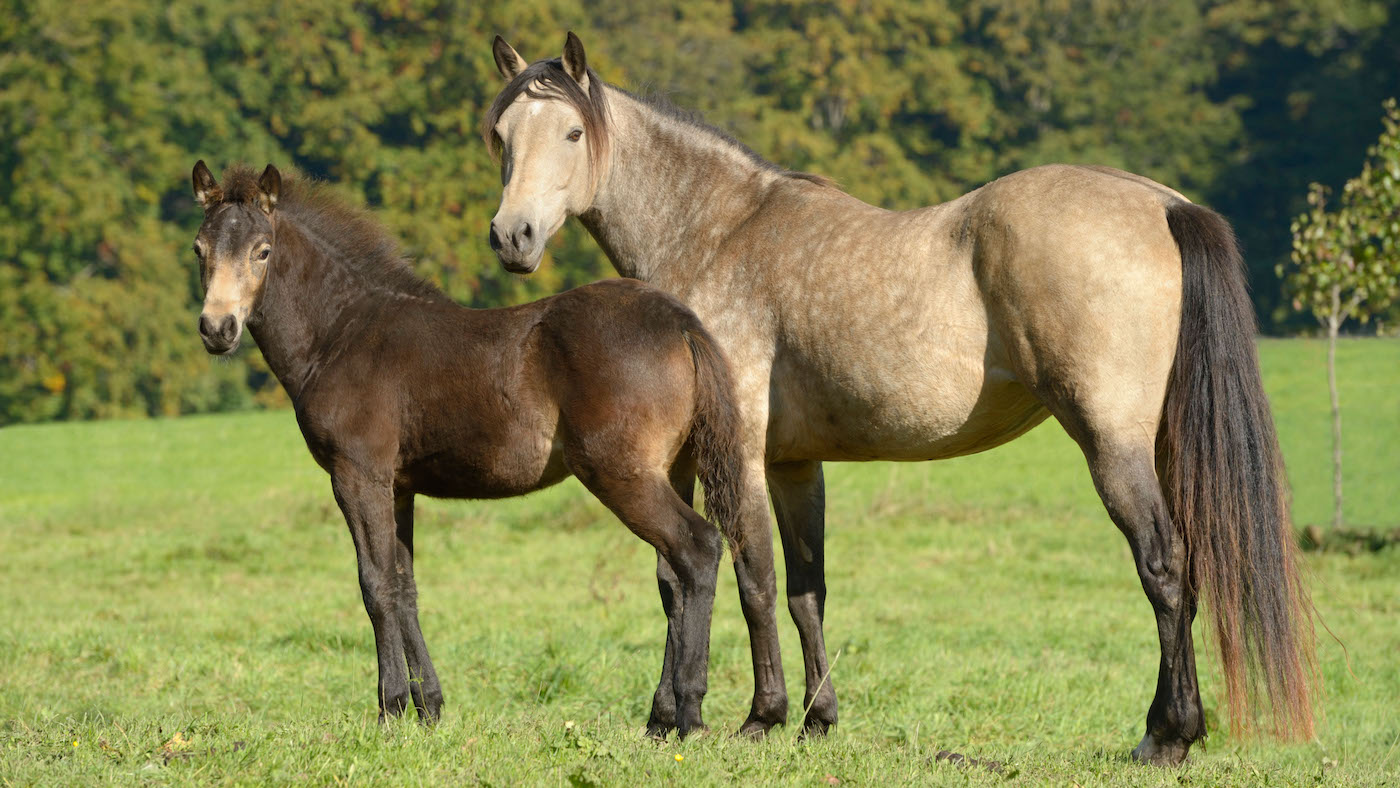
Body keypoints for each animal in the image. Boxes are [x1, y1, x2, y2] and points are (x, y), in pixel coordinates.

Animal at [189, 160, 748, 737]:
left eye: (263, 251)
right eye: (198, 248)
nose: (217, 329)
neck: (341, 333)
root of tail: (681, 323)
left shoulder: (357, 475)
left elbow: (375, 585)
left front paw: (391, 709)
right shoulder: (398, 487)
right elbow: (404, 585)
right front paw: (429, 708)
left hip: (622, 474)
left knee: (699, 548)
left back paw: (690, 712)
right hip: (673, 470)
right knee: (672, 578)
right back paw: (660, 719)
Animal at [481, 33, 1317, 765]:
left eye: (571, 132)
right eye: (500, 137)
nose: (512, 236)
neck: (719, 232)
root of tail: (1165, 205)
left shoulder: (730, 456)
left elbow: (744, 577)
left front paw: (756, 718)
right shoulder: (789, 464)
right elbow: (795, 589)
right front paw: (812, 719)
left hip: (1112, 444)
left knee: (1164, 565)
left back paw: (1165, 736)